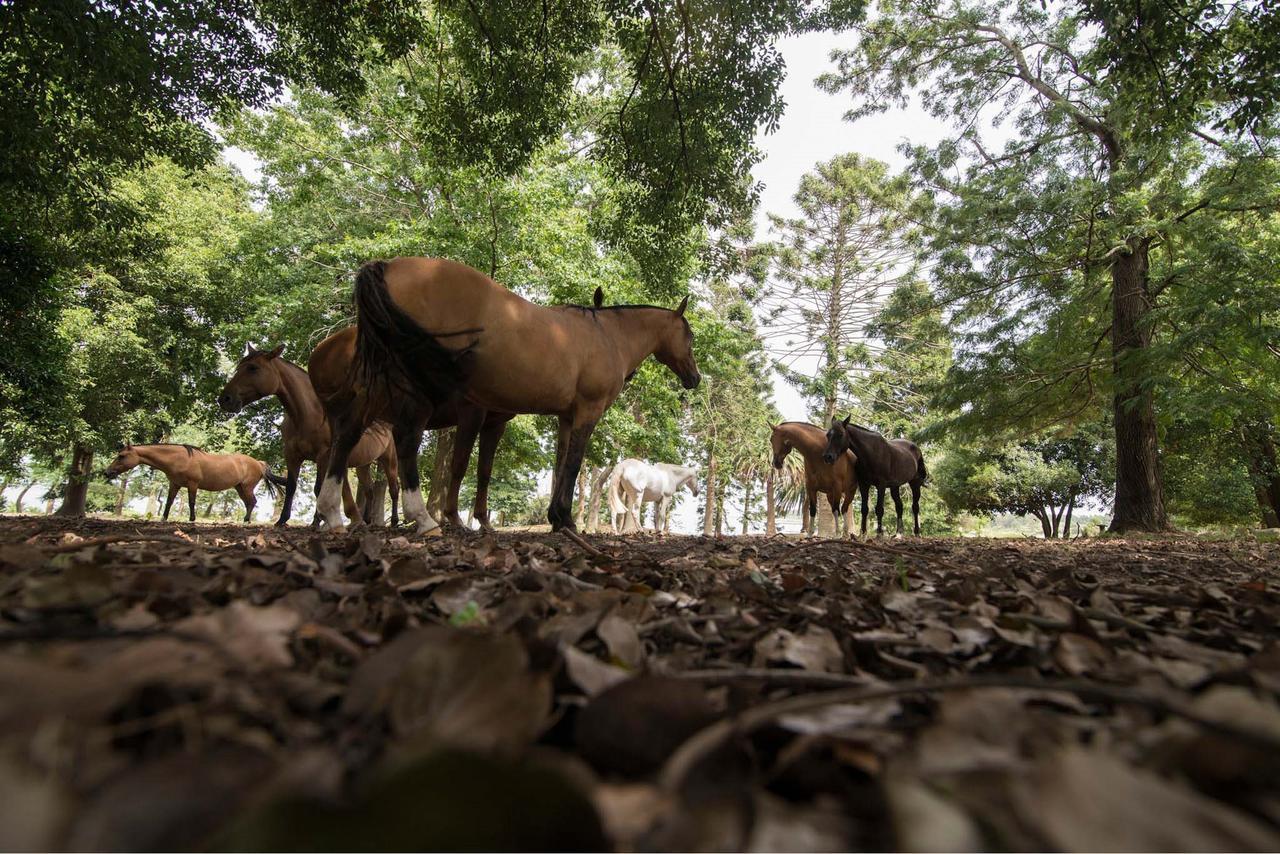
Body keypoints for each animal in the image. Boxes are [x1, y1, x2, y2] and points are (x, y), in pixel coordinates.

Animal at [101, 445, 284, 524]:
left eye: (122, 456)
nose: (107, 472)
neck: (178, 458)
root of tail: (258, 463)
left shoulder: (192, 484)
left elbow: (191, 502)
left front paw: (192, 519)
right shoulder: (174, 484)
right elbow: (169, 502)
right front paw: (163, 518)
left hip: (246, 487)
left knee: (252, 502)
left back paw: (245, 521)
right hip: (239, 487)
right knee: (249, 503)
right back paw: (246, 520)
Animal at [216, 345, 399, 527]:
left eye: (253, 368)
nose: (224, 399)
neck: (307, 415)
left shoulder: (323, 456)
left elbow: (318, 488)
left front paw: (317, 521)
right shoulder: (292, 455)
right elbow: (291, 486)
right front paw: (282, 520)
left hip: (389, 459)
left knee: (393, 489)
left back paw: (394, 521)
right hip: (363, 464)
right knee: (369, 490)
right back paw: (367, 521)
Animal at [307, 325, 512, 530]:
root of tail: (322, 350)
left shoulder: (494, 424)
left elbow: (485, 471)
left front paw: (483, 519)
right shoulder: (471, 412)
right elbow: (459, 465)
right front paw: (454, 516)